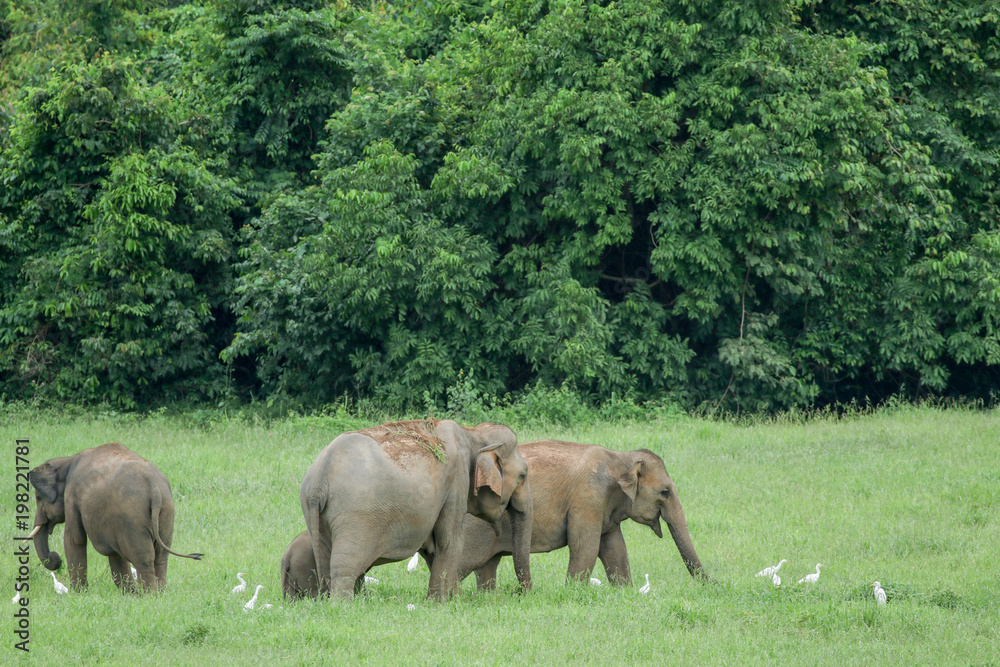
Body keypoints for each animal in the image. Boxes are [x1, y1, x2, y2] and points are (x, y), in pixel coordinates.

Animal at [28, 442, 203, 592]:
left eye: (38, 497)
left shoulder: (72, 495)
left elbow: (75, 539)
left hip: (132, 518)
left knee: (143, 558)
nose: (55, 558)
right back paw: (158, 594)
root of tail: (153, 484)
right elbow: (113, 553)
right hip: (166, 512)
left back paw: (149, 596)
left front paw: (79, 594)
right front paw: (130, 594)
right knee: (160, 556)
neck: (67, 460)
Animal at [300, 419, 532, 601]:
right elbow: (450, 541)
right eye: (523, 475)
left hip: (317, 516)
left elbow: (432, 548)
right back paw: (343, 606)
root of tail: (319, 480)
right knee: (344, 565)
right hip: (354, 514)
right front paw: (440, 603)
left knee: (325, 562)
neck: (473, 433)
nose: (520, 593)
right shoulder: (456, 481)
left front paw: (449, 599)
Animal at [455, 440, 709, 588]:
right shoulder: (587, 499)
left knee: (487, 567)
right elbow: (585, 546)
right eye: (665, 492)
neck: (619, 457)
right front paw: (574, 593)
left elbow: (615, 548)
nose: (713, 586)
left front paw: (624, 591)